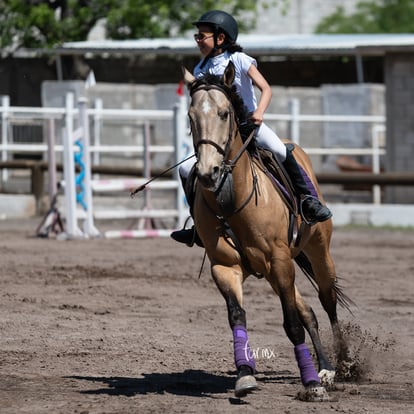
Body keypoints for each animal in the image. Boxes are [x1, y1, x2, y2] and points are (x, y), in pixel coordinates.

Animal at [181, 62, 350, 402]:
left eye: (224, 114)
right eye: (191, 117)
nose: (208, 173)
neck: (232, 198)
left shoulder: (279, 262)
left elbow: (292, 325)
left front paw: (311, 384)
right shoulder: (226, 266)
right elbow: (237, 316)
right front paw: (245, 375)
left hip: (317, 254)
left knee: (327, 301)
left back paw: (337, 367)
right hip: (277, 271)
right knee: (309, 311)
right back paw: (325, 367)